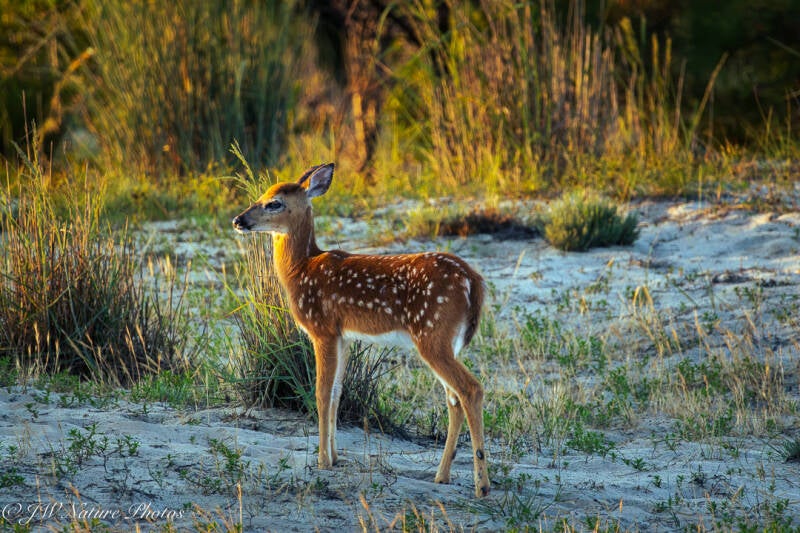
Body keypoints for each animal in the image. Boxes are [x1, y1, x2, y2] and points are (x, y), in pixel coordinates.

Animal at [232, 163, 490, 498]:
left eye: (274, 203)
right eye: (261, 195)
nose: (239, 220)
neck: (301, 268)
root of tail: (473, 280)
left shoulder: (323, 329)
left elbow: (321, 392)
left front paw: (322, 461)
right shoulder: (343, 336)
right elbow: (337, 393)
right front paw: (335, 457)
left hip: (433, 334)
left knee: (471, 389)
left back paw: (482, 486)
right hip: (448, 340)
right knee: (454, 398)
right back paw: (441, 476)